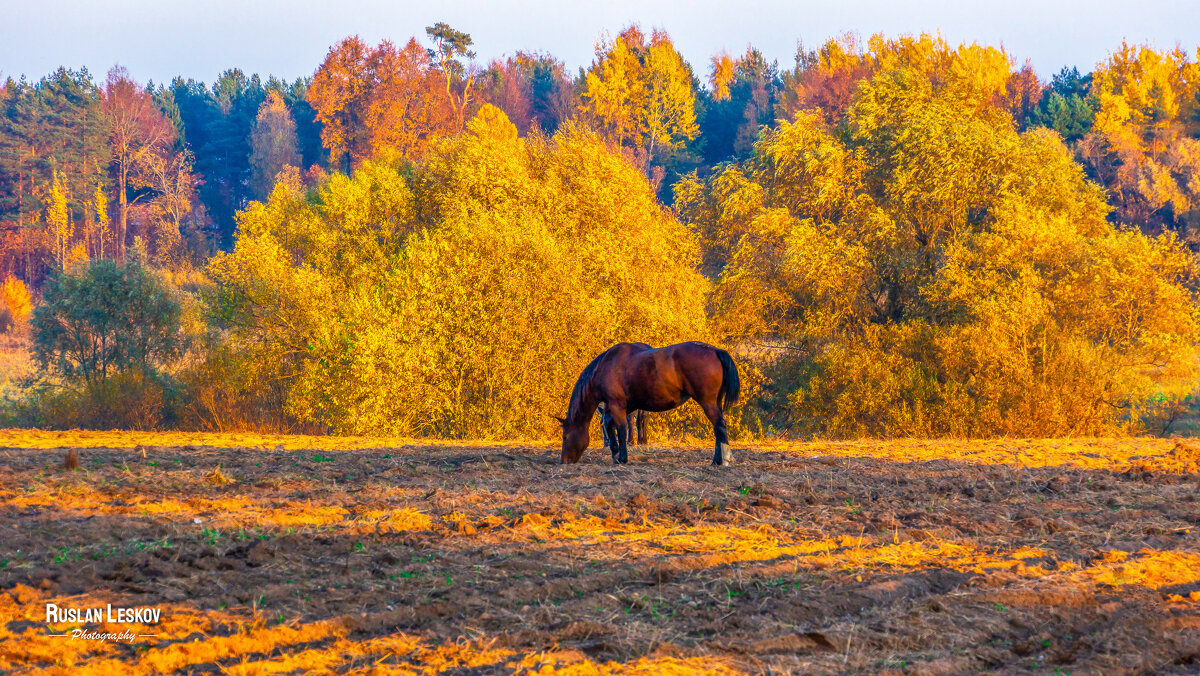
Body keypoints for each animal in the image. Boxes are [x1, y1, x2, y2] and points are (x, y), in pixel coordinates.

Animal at [554, 343, 739, 465]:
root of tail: (715, 351)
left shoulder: (617, 405)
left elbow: (622, 430)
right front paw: (615, 453)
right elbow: (610, 426)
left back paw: (722, 460)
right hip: (715, 402)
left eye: (565, 436)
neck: (605, 366)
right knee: (718, 429)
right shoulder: (620, 406)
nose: (564, 461)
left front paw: (622, 458)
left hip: (708, 402)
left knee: (719, 426)